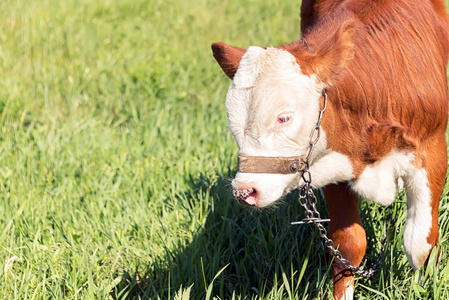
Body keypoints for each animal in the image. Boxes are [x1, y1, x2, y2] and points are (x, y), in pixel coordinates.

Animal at [212, 0, 448, 300]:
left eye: (284, 117)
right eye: (233, 123)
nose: (244, 191)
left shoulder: (432, 150)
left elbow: (420, 244)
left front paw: (426, 286)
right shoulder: (330, 163)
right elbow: (348, 245)